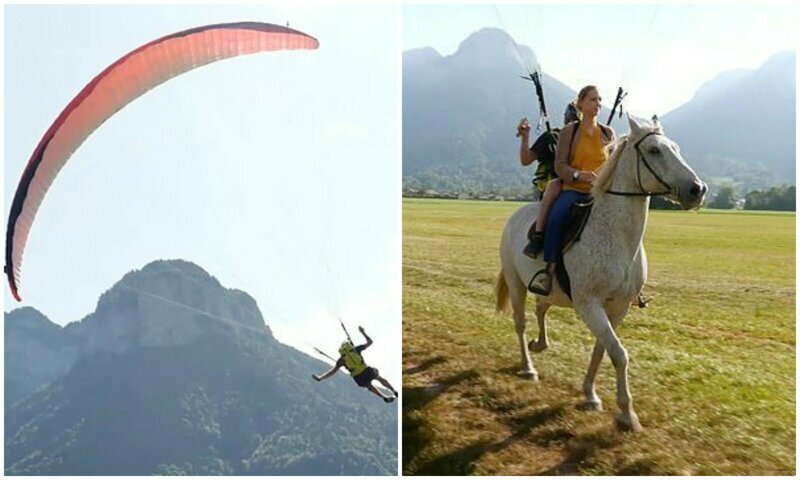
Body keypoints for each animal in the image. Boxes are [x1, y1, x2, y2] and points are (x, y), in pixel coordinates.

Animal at [494, 116, 708, 432]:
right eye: (654, 150)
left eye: (676, 148)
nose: (698, 189)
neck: (617, 237)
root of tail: (515, 216)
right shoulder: (589, 304)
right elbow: (619, 353)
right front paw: (627, 414)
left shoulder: (618, 307)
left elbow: (602, 349)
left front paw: (590, 394)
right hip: (515, 281)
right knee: (521, 323)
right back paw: (528, 367)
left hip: (550, 290)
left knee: (541, 306)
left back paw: (540, 343)